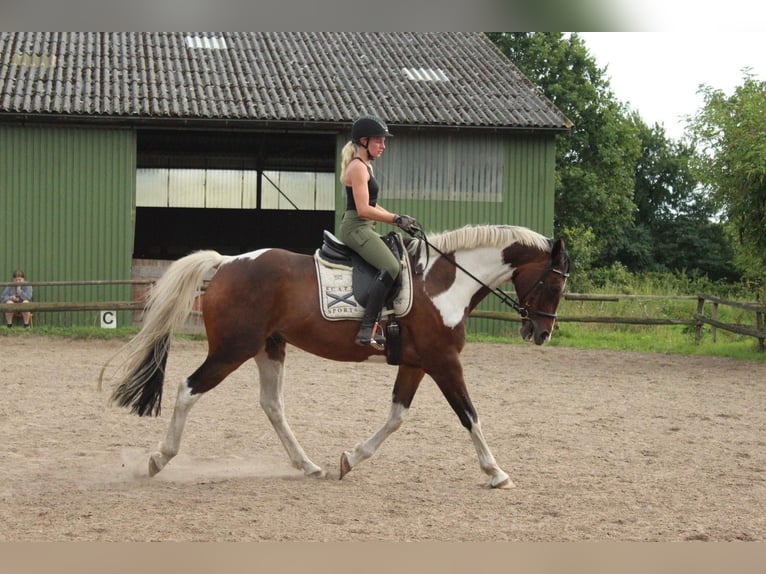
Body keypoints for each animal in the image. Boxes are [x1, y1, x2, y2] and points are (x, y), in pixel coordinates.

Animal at [102, 226, 568, 490]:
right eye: (554, 284)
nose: (541, 333)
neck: (443, 283)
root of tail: (228, 263)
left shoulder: (417, 363)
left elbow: (396, 416)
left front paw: (350, 459)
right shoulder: (444, 360)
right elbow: (469, 415)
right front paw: (496, 472)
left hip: (269, 346)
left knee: (272, 405)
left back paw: (308, 466)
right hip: (232, 350)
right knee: (188, 390)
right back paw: (158, 459)